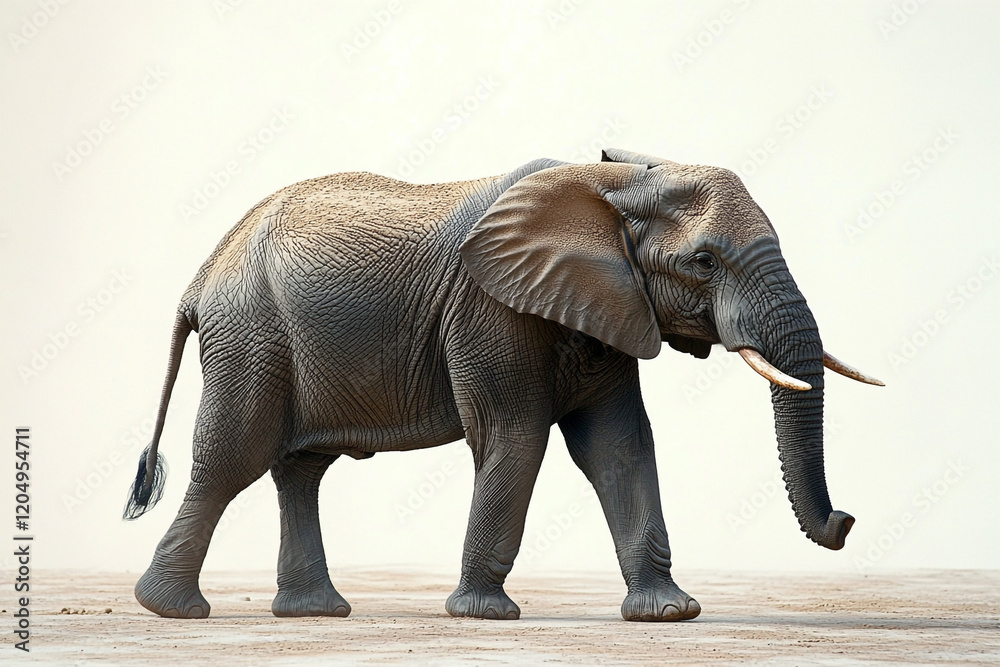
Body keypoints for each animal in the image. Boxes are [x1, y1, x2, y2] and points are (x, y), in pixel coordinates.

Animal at [124, 148, 881, 622]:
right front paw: (484, 615)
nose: (847, 521)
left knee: (300, 467)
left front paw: (670, 612)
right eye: (703, 260)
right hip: (252, 336)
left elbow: (619, 446)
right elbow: (515, 437)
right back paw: (171, 609)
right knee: (234, 458)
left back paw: (315, 612)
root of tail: (202, 274)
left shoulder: (608, 305)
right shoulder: (489, 307)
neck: (609, 185)